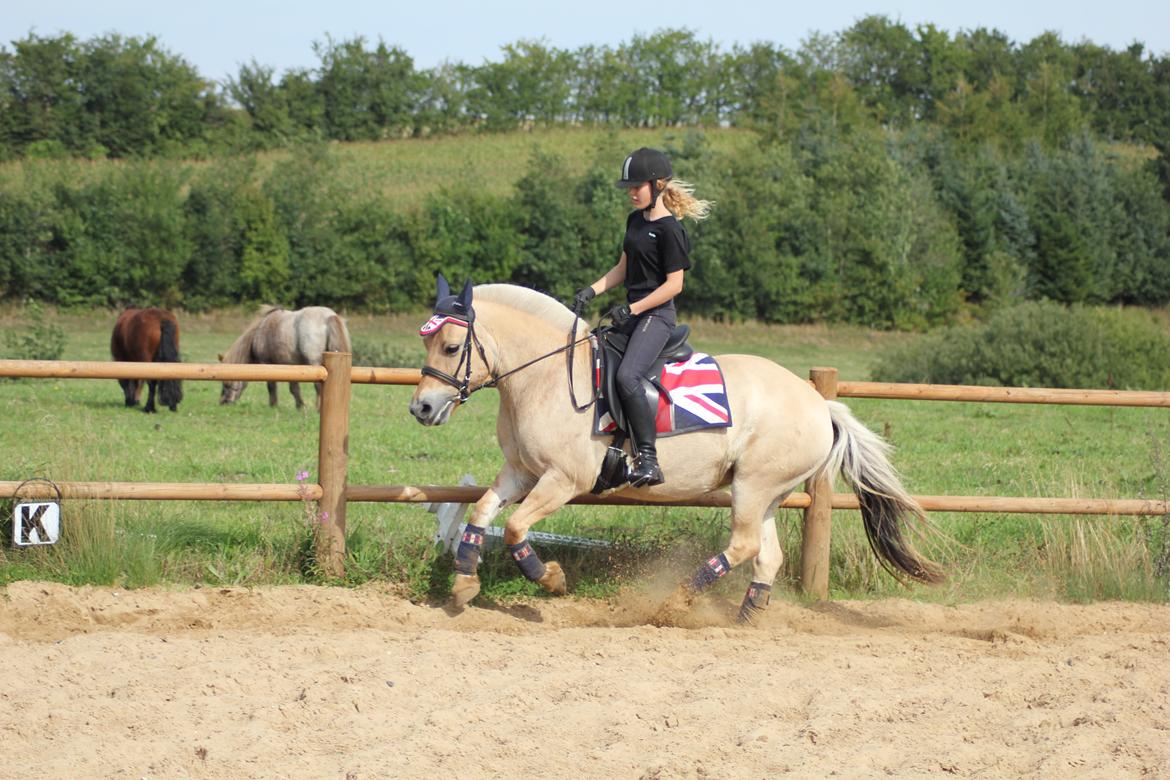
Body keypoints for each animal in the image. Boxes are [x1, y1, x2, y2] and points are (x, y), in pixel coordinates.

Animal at [217, 304, 348, 409]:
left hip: (316, 364)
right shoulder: (292, 366)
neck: (259, 333)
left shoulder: (267, 363)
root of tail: (329, 317)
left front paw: (273, 405)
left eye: (226, 384)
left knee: (318, 387)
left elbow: (272, 386)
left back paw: (318, 409)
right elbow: (294, 389)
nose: (223, 403)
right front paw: (300, 406)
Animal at [411, 277, 940, 617]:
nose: (422, 408)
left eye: (452, 347)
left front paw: (551, 579)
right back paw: (746, 615)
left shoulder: (563, 479)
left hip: (752, 486)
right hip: (767, 493)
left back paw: (679, 599)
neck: (545, 377)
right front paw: (464, 584)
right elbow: (482, 512)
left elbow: (516, 526)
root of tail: (818, 403)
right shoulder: (520, 470)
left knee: (745, 545)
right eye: (427, 345)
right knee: (766, 555)